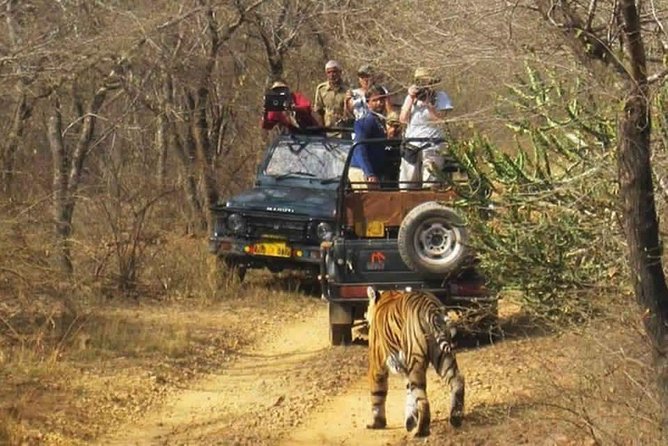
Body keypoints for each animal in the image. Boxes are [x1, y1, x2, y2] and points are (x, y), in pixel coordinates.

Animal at [365, 287, 465, 437]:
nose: (365, 314)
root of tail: (430, 306)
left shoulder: (377, 365)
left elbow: (377, 394)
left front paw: (377, 423)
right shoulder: (405, 368)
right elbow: (409, 393)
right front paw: (410, 421)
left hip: (416, 360)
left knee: (423, 399)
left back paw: (421, 431)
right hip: (443, 356)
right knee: (457, 380)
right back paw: (456, 417)